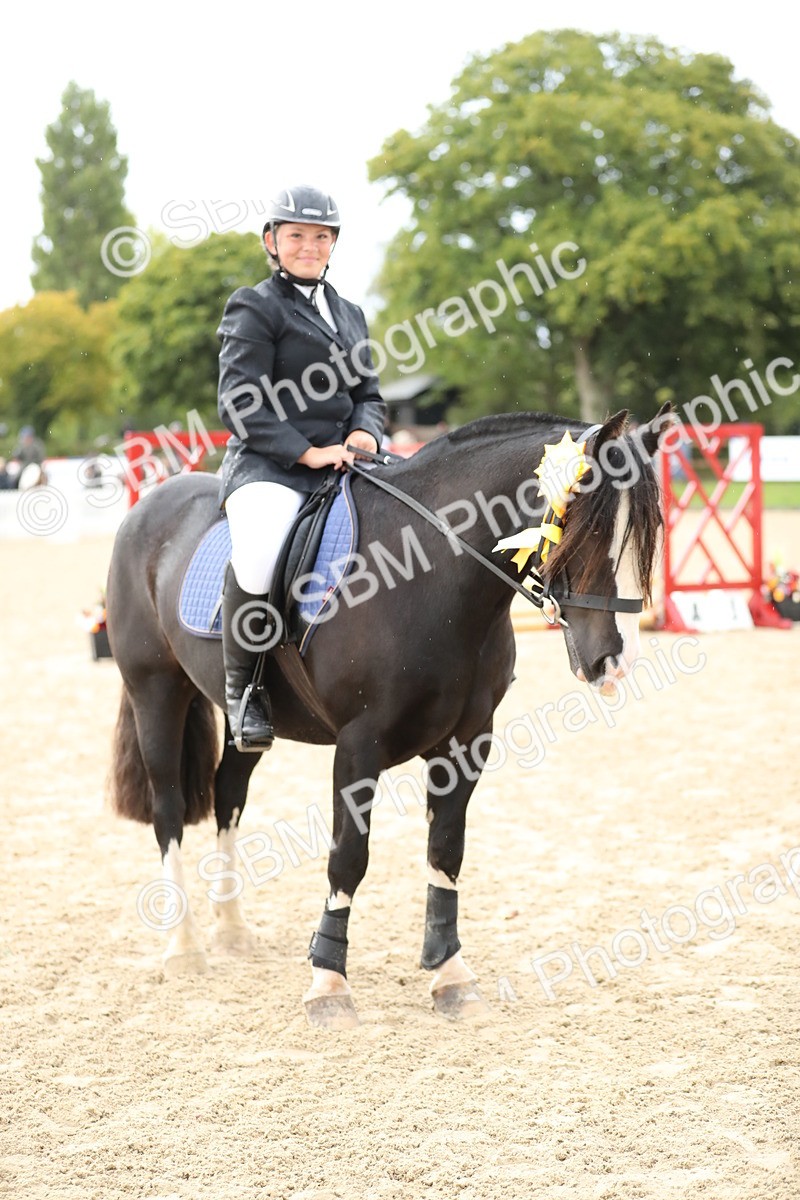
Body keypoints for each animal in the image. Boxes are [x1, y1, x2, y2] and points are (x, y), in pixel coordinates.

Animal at [106, 404, 671, 1027]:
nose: (614, 661)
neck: (430, 571)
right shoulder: (360, 744)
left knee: (228, 794)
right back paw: (184, 948)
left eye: (651, 532)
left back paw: (231, 932)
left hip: (244, 726)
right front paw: (328, 984)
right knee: (169, 809)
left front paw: (451, 975)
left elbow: (446, 848)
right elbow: (349, 857)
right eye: (589, 528)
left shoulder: (468, 741)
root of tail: (152, 504)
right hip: (155, 692)